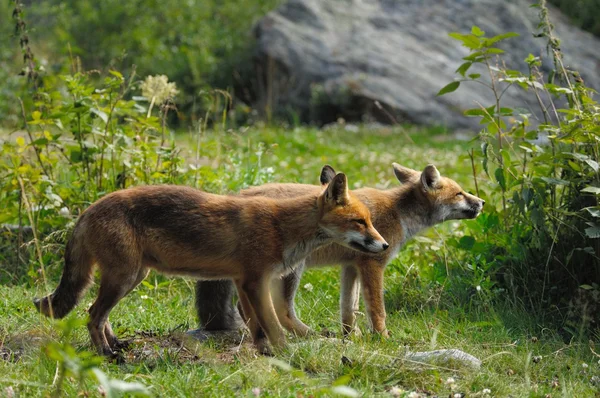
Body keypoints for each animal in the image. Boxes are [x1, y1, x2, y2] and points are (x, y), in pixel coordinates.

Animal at [34, 169, 390, 356]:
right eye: (360, 222)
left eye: (369, 221)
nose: (385, 245)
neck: (281, 228)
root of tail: (88, 209)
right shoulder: (255, 281)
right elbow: (273, 325)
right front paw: (285, 353)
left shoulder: (243, 281)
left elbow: (256, 326)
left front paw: (263, 353)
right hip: (123, 278)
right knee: (92, 315)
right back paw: (105, 354)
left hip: (132, 276)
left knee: (94, 312)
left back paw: (115, 345)